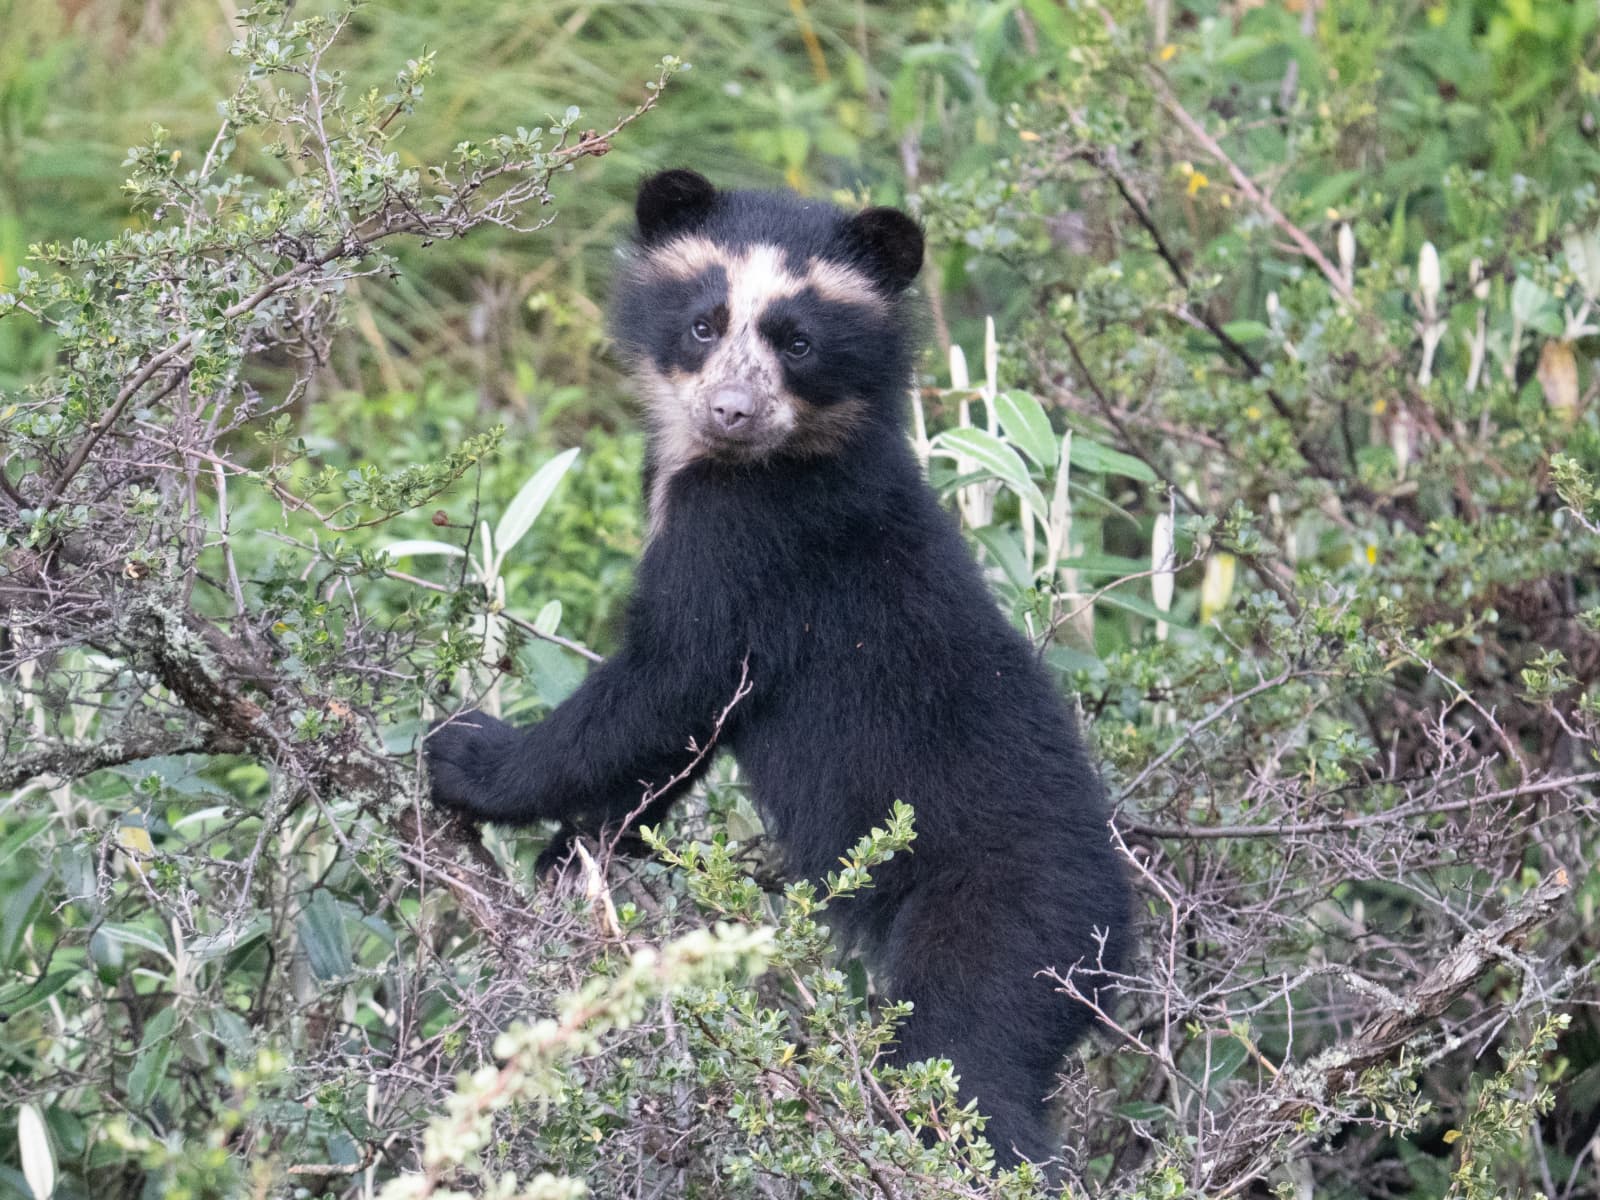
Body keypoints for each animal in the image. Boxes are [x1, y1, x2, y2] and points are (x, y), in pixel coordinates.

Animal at [425, 168, 1132, 1170]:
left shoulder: (748, 545)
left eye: (797, 341)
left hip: (1004, 928)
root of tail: (1115, 930)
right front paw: (580, 853)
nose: (731, 411)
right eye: (704, 322)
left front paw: (468, 757)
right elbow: (672, 741)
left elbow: (667, 682)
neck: (756, 464)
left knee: (967, 1069)